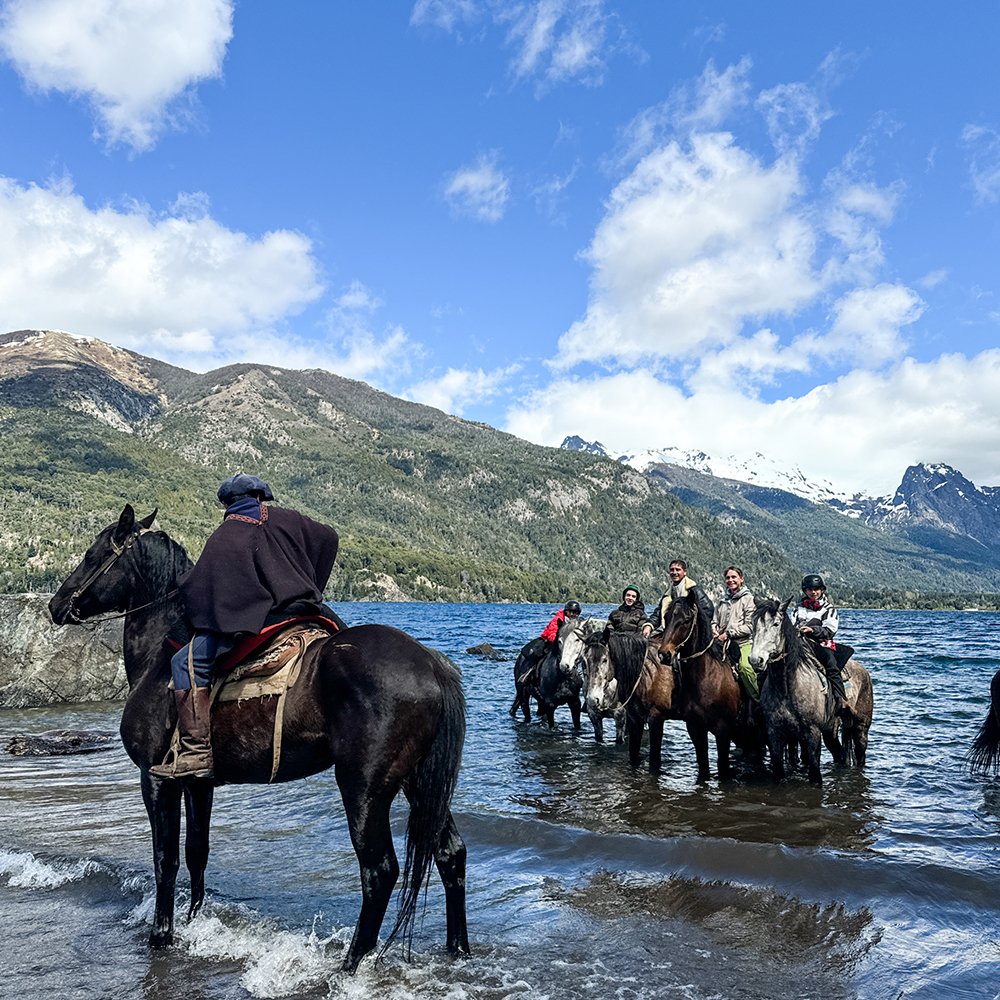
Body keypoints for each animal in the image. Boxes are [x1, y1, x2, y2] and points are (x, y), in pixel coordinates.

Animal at [47, 505, 469, 973]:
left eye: (94, 554)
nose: (56, 605)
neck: (161, 654)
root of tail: (431, 665)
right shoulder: (197, 783)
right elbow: (196, 852)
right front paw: (194, 921)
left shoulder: (155, 778)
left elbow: (165, 858)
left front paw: (161, 934)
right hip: (419, 782)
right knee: (450, 854)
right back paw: (458, 951)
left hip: (364, 788)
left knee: (379, 872)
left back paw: (349, 965)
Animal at [657, 594, 764, 781]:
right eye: (667, 617)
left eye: (686, 620)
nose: (664, 654)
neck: (707, 678)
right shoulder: (695, 728)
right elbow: (703, 767)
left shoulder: (723, 731)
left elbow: (722, 768)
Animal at [748, 598, 873, 784]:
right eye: (753, 623)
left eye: (776, 624)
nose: (756, 660)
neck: (787, 687)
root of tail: (864, 672)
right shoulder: (775, 733)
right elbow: (778, 770)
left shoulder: (813, 733)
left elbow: (815, 773)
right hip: (831, 730)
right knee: (839, 755)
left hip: (861, 727)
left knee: (860, 754)